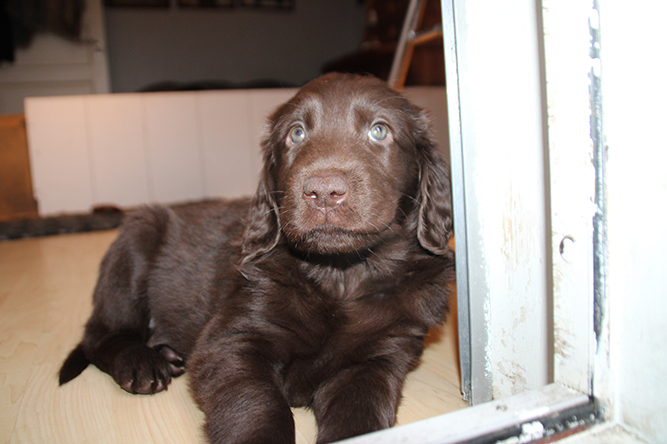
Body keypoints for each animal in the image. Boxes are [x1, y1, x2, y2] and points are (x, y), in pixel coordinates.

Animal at [59, 73, 454, 444]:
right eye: (296, 134)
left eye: (379, 130)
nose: (323, 191)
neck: (340, 278)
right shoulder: (232, 341)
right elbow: (259, 405)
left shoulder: (381, 356)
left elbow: (361, 415)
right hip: (136, 241)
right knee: (99, 334)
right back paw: (142, 363)